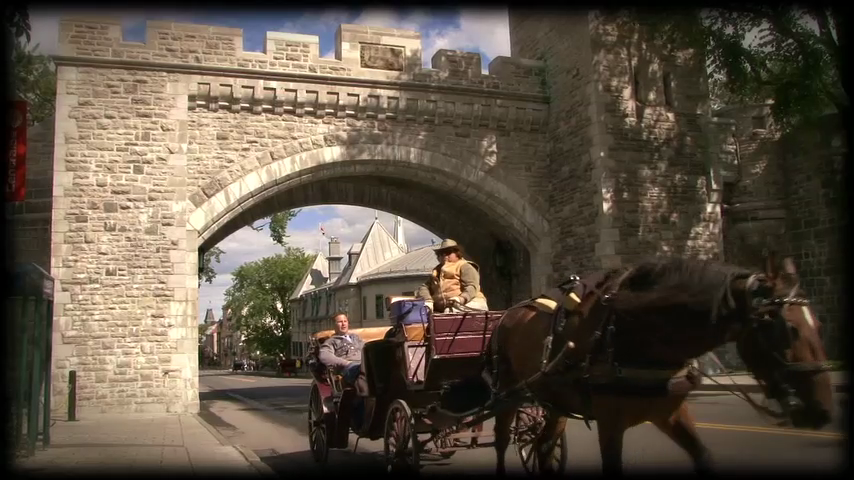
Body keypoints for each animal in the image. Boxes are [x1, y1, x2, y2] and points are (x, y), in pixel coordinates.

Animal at [488, 256, 836, 474]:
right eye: (785, 330)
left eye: (819, 325)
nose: (822, 411)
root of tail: (510, 313)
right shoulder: (609, 422)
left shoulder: (670, 412)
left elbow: (703, 456)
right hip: (507, 392)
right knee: (502, 440)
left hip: (554, 400)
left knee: (544, 446)